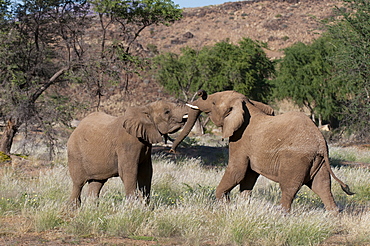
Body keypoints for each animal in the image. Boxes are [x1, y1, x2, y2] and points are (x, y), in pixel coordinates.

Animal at [171, 89, 352, 212]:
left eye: (214, 103)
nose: (173, 151)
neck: (247, 105)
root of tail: (321, 141)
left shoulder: (240, 140)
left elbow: (237, 171)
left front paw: (226, 204)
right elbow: (248, 176)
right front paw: (242, 205)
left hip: (296, 159)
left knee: (289, 188)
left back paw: (282, 215)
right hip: (318, 161)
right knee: (322, 187)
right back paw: (334, 216)